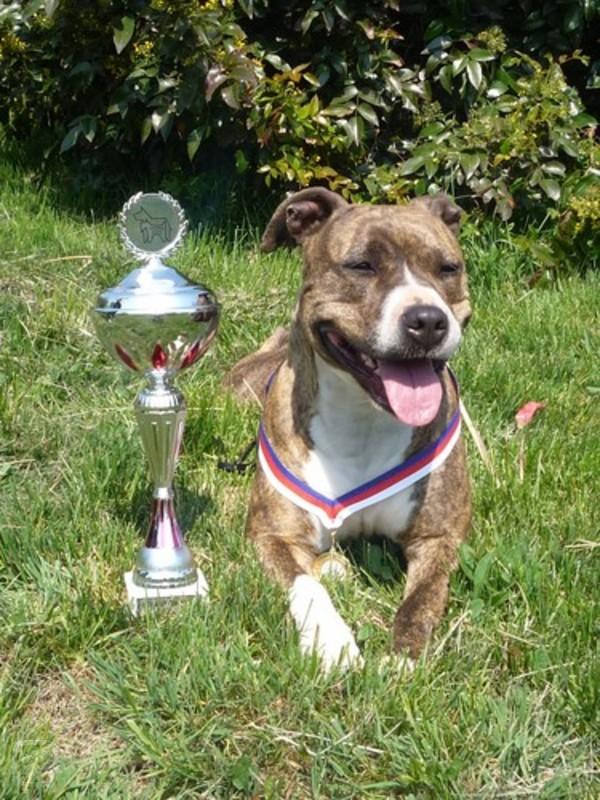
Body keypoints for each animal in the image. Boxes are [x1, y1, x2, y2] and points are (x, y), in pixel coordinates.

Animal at [227, 188, 471, 671]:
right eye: (361, 265)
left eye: (448, 268)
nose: (428, 320)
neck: (363, 418)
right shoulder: (273, 536)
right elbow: (306, 585)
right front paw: (331, 641)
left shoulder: (439, 537)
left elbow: (422, 598)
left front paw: (402, 657)